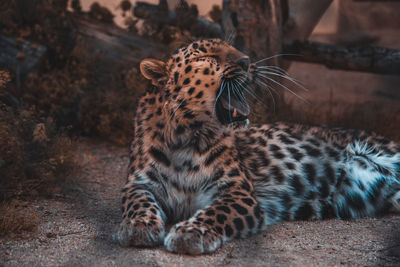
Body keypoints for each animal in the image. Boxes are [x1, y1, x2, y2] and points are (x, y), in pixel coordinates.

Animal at [112, 38, 400, 255]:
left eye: (233, 49)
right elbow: (137, 202)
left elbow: (216, 212)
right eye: (209, 56)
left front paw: (190, 233)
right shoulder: (139, 183)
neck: (186, 136)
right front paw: (139, 226)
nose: (247, 61)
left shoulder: (238, 192)